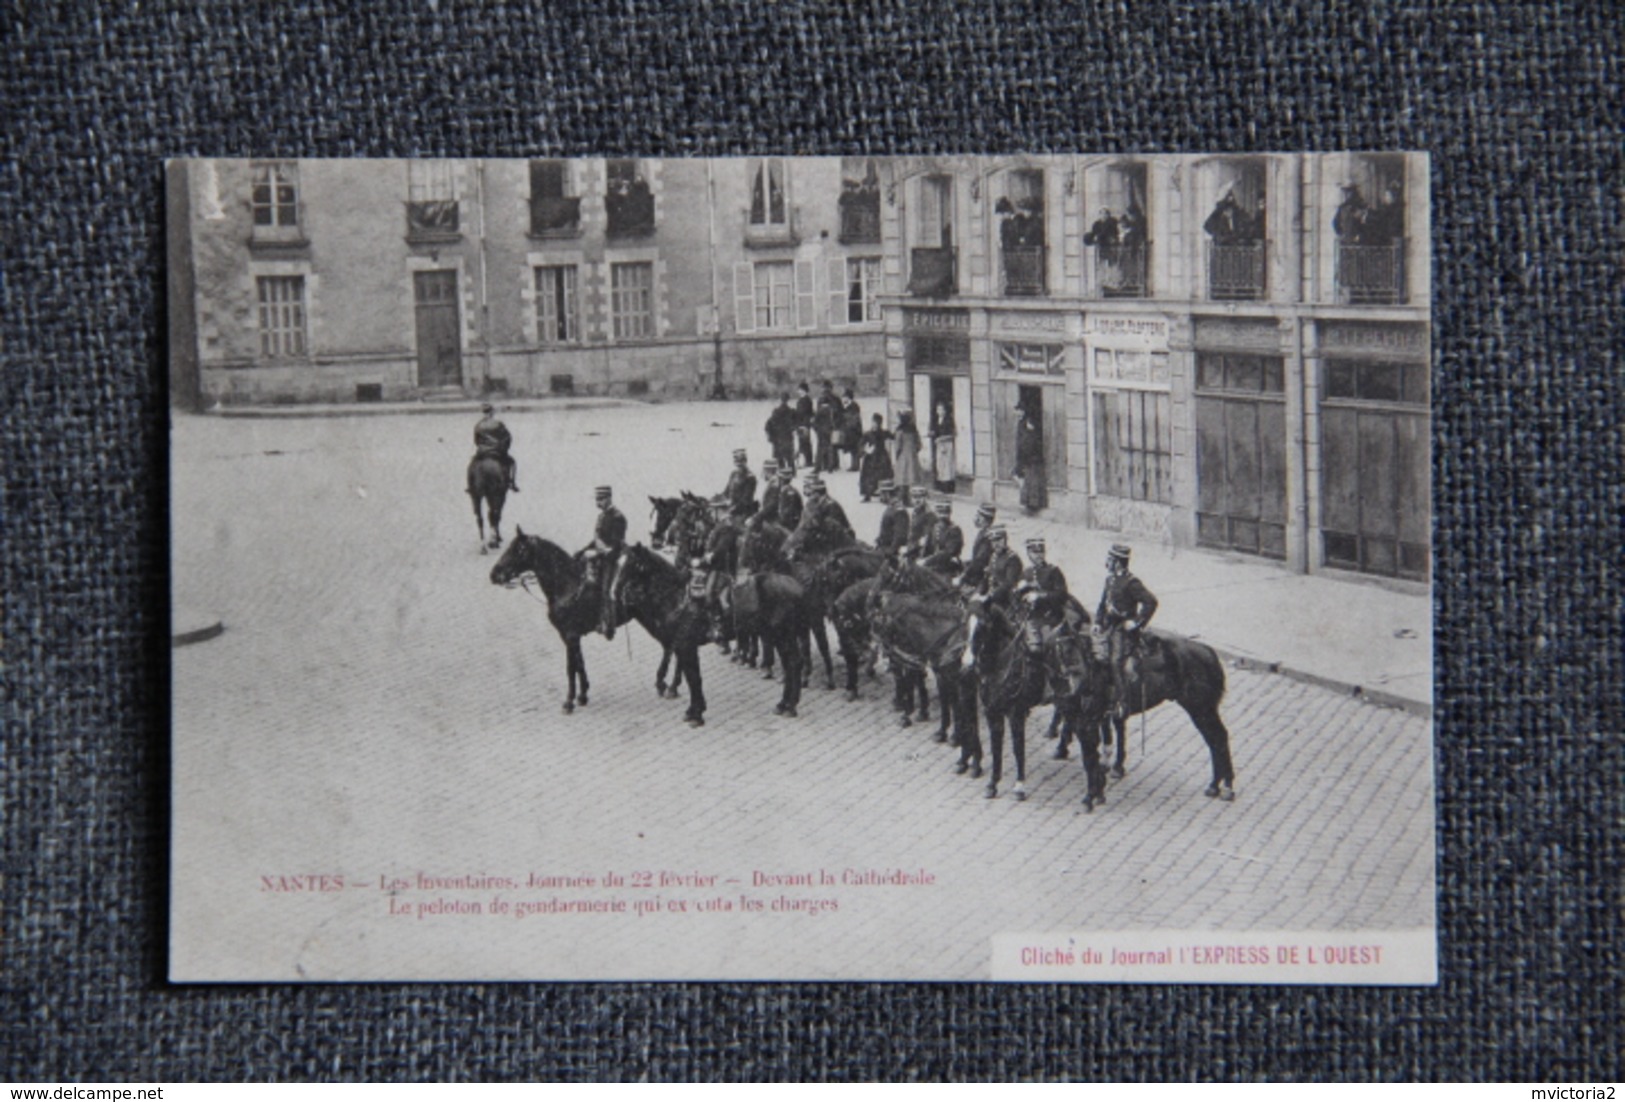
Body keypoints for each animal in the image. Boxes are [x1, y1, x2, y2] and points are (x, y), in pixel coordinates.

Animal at [607, 542, 708, 724]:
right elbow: (680, 664)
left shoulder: (683, 643)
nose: (614, 592)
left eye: (631, 565)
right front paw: (671, 686)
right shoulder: (677, 642)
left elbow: (688, 672)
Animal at [1059, 630, 1235, 812]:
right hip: (1203, 710)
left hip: (1200, 708)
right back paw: (1215, 786)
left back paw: (1226, 787)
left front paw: (1090, 797)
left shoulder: (1084, 720)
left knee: (1218, 738)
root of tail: (1208, 652)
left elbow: (1090, 759)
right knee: (1215, 739)